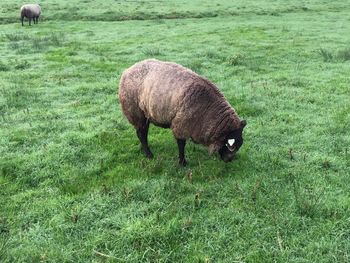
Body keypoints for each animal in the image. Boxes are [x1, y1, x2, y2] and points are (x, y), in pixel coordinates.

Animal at [119, 59, 247, 167]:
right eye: (231, 145)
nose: (228, 160)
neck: (208, 110)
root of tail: (126, 71)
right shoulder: (181, 124)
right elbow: (181, 144)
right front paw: (182, 163)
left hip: (144, 115)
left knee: (142, 133)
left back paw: (143, 150)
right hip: (136, 112)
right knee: (141, 133)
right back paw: (149, 154)